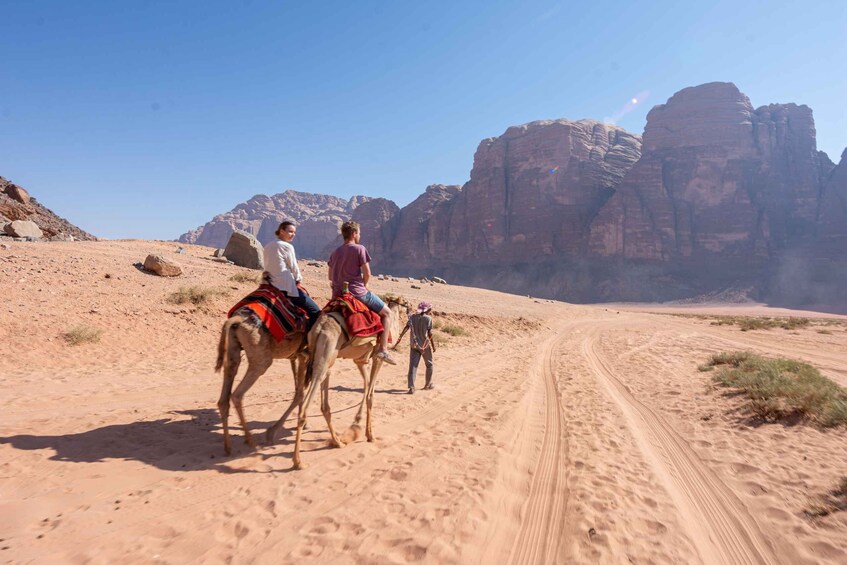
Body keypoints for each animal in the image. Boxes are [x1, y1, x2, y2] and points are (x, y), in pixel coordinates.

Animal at [215, 308, 308, 454]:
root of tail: (237, 319)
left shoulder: (297, 356)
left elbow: (298, 388)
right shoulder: (306, 354)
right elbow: (301, 391)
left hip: (232, 349)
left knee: (224, 395)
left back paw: (228, 447)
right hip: (260, 356)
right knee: (237, 394)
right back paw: (251, 442)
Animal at [288, 296, 408, 468]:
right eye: (405, 302)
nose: (410, 308)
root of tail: (320, 328)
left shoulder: (360, 361)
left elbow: (366, 387)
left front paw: (358, 425)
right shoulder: (377, 357)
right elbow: (370, 394)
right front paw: (369, 434)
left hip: (322, 357)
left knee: (322, 403)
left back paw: (337, 442)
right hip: (325, 357)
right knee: (306, 405)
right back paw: (298, 461)